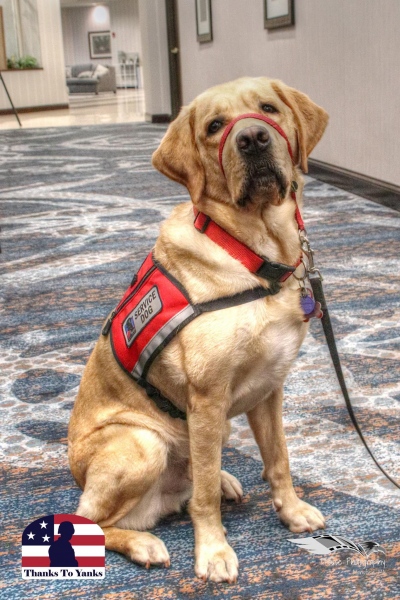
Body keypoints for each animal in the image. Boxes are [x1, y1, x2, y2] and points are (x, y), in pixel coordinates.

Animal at [68, 77, 329, 583]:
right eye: (214, 126)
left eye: (268, 109)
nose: (253, 139)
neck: (256, 252)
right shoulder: (207, 398)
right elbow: (204, 497)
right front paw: (213, 551)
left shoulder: (269, 388)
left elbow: (279, 460)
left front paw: (291, 511)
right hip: (144, 442)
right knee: (88, 521)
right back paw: (145, 543)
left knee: (192, 479)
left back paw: (223, 482)